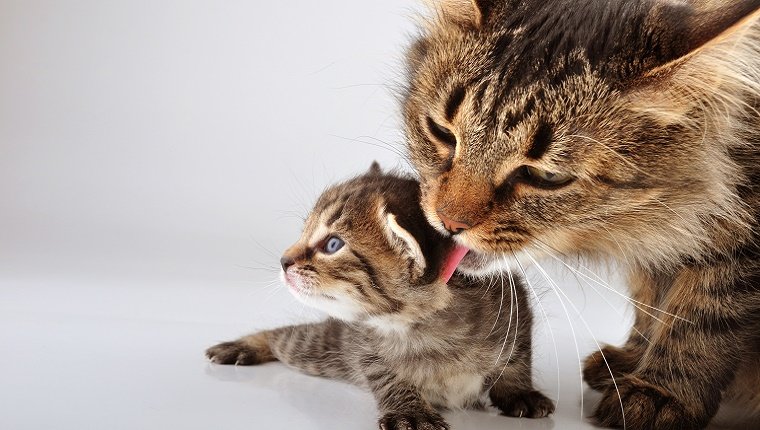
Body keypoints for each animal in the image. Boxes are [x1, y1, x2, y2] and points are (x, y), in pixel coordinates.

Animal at [205, 163, 556, 428]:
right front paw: (410, 411)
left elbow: (517, 360)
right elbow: (386, 375)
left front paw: (519, 392)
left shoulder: (515, 308)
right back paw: (243, 346)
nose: (283, 261)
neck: (423, 327)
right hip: (320, 349)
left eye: (332, 245)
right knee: (284, 337)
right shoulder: (365, 346)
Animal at [400, 0, 760, 430]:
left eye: (546, 177)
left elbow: (702, 316)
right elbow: (651, 298)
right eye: (442, 133)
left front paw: (658, 394)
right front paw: (632, 360)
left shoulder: (739, 243)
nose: (449, 221)